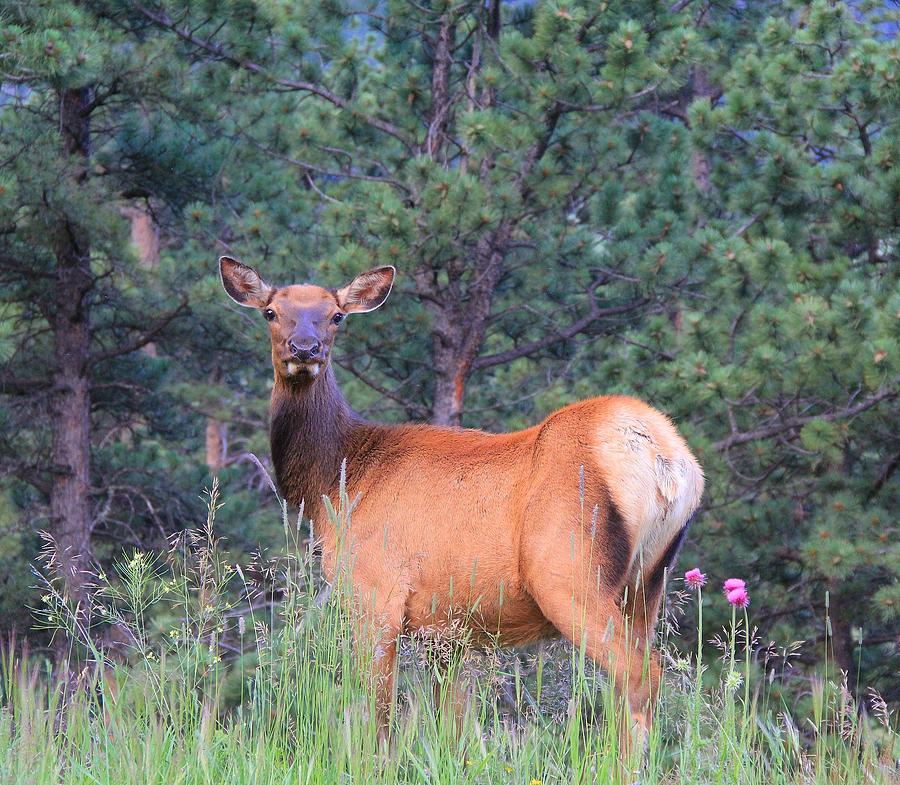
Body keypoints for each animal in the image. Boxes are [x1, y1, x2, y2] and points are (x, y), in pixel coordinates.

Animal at [218, 258, 704, 740]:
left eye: (337, 315)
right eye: (271, 312)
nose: (305, 348)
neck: (339, 481)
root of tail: (668, 460)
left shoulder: (375, 591)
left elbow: (378, 716)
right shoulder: (446, 629)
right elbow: (451, 727)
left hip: (569, 571)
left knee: (640, 676)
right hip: (647, 584)